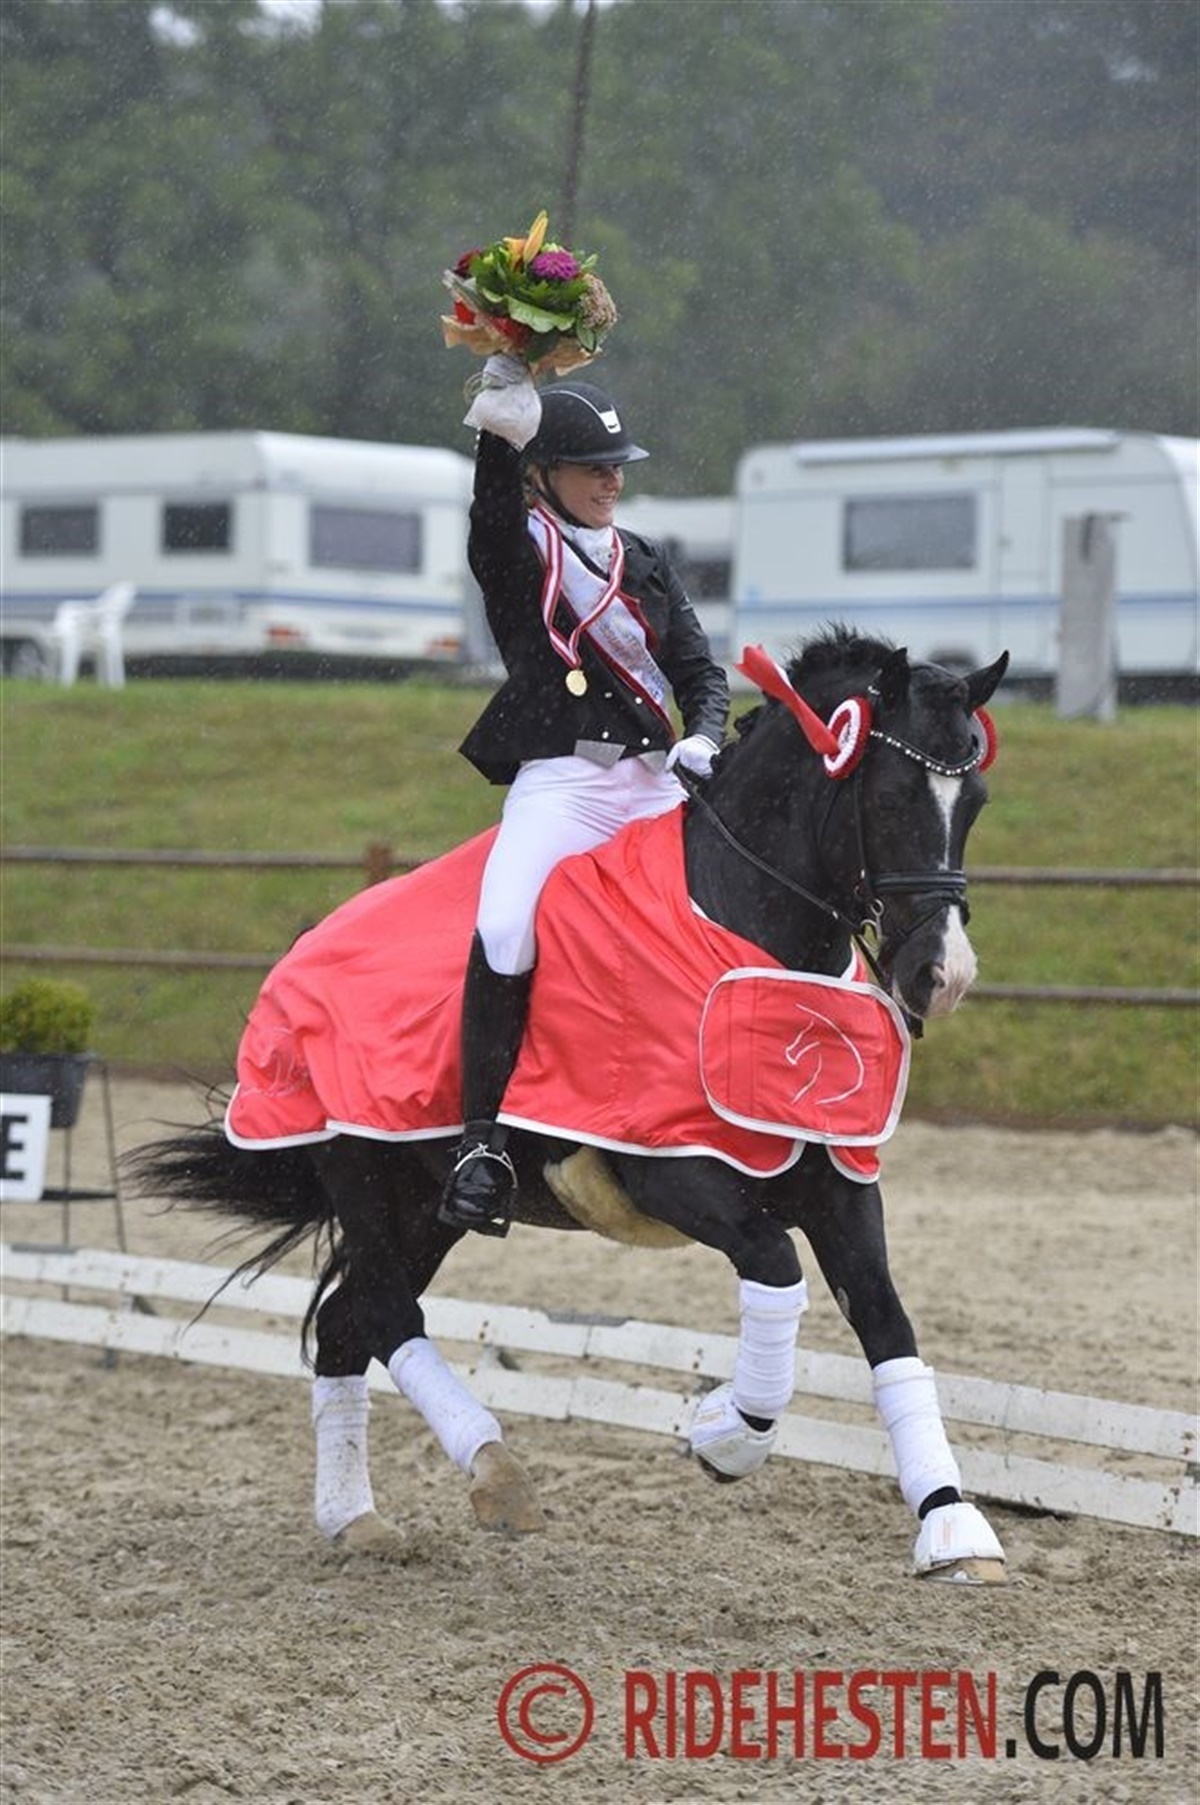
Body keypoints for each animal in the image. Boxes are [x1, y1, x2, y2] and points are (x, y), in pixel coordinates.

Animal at [128, 627, 1010, 1582]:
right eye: (890, 797)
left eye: (976, 799)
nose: (943, 976)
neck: (741, 925)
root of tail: (304, 943)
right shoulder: (669, 1169)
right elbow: (776, 1268)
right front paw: (724, 1434)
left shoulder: (838, 1178)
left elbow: (887, 1321)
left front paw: (953, 1525)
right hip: (363, 1166)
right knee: (385, 1310)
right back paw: (493, 1469)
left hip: (423, 1205)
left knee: (345, 1322)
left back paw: (353, 1518)